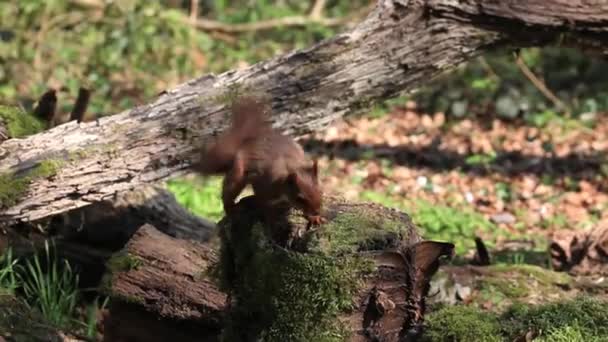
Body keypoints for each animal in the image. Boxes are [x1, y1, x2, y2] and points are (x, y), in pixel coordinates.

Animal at [197, 96, 326, 226]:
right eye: (300, 198)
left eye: (321, 191)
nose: (317, 211)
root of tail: (248, 141)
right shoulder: (263, 183)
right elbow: (265, 204)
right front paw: (271, 219)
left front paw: (314, 217)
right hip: (238, 173)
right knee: (229, 192)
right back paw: (232, 209)